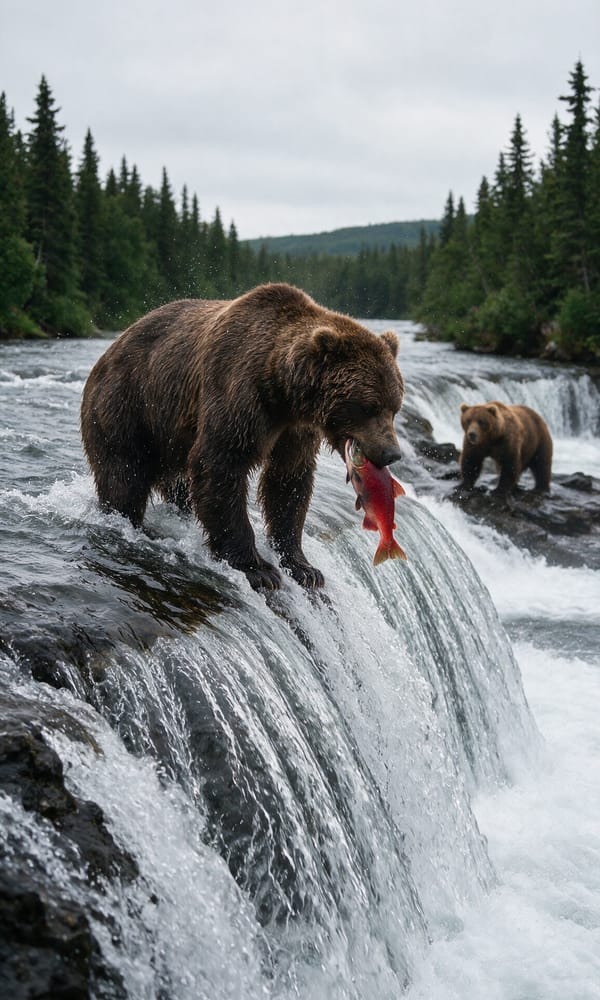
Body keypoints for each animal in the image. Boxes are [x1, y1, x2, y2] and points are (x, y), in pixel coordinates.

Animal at [81, 282, 404, 591]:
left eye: (394, 407)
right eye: (367, 407)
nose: (392, 453)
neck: (282, 390)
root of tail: (107, 352)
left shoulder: (295, 430)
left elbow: (289, 483)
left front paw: (304, 567)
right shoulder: (238, 391)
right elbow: (220, 465)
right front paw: (258, 569)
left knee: (177, 485)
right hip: (126, 405)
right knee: (124, 474)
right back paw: (131, 522)